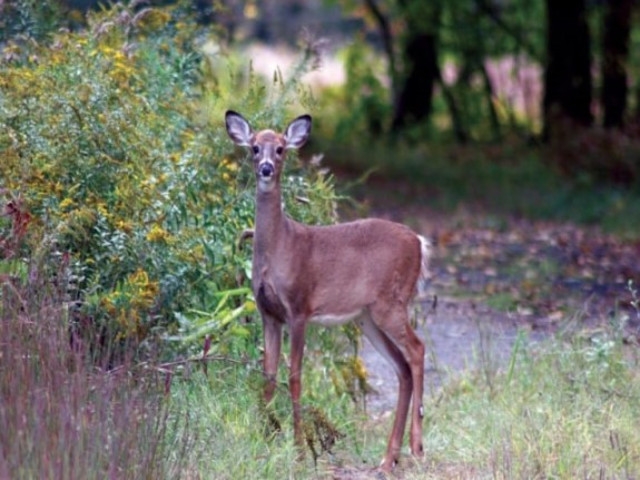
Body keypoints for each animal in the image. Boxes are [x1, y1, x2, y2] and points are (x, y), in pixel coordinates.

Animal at [225, 110, 431, 472]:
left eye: (280, 149)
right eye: (253, 147)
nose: (265, 168)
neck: (279, 248)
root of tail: (419, 242)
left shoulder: (299, 307)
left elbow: (294, 375)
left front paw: (298, 449)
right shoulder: (268, 313)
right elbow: (268, 374)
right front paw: (265, 438)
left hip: (391, 302)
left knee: (417, 351)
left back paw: (416, 447)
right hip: (368, 317)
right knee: (402, 368)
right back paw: (388, 457)